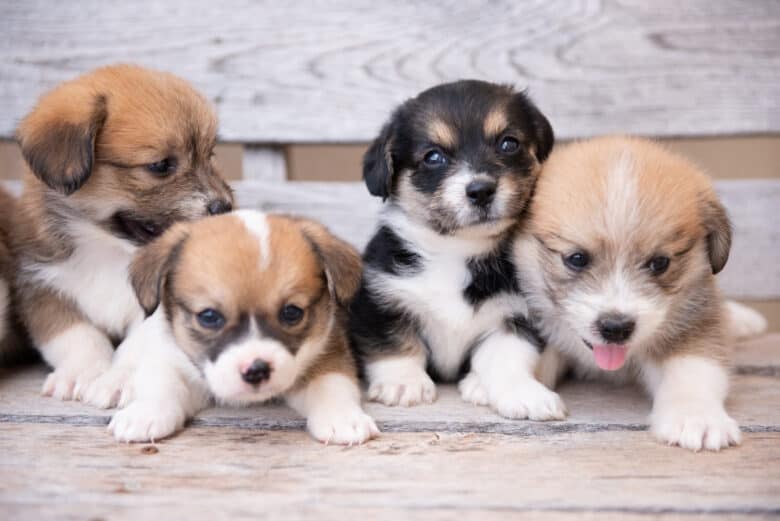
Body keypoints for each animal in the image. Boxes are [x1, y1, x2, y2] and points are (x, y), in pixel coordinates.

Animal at [12, 64, 232, 398]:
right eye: (161, 165)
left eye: (210, 155)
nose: (225, 207)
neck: (109, 249)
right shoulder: (44, 288)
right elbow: (78, 336)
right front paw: (82, 372)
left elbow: (137, 345)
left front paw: (118, 379)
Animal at [90, 209, 380, 444]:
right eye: (209, 316)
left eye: (291, 313)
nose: (257, 371)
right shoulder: (174, 361)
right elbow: (162, 383)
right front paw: (145, 412)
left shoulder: (329, 353)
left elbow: (331, 385)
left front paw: (342, 417)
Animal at [352, 79, 568, 418]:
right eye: (433, 157)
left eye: (508, 144)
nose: (481, 190)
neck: (458, 248)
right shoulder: (380, 300)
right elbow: (395, 345)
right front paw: (403, 384)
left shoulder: (520, 316)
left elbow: (507, 358)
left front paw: (525, 395)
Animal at [516, 136, 764, 448]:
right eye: (576, 259)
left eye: (660, 263)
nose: (615, 328)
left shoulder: (696, 324)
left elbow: (693, 370)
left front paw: (697, 417)